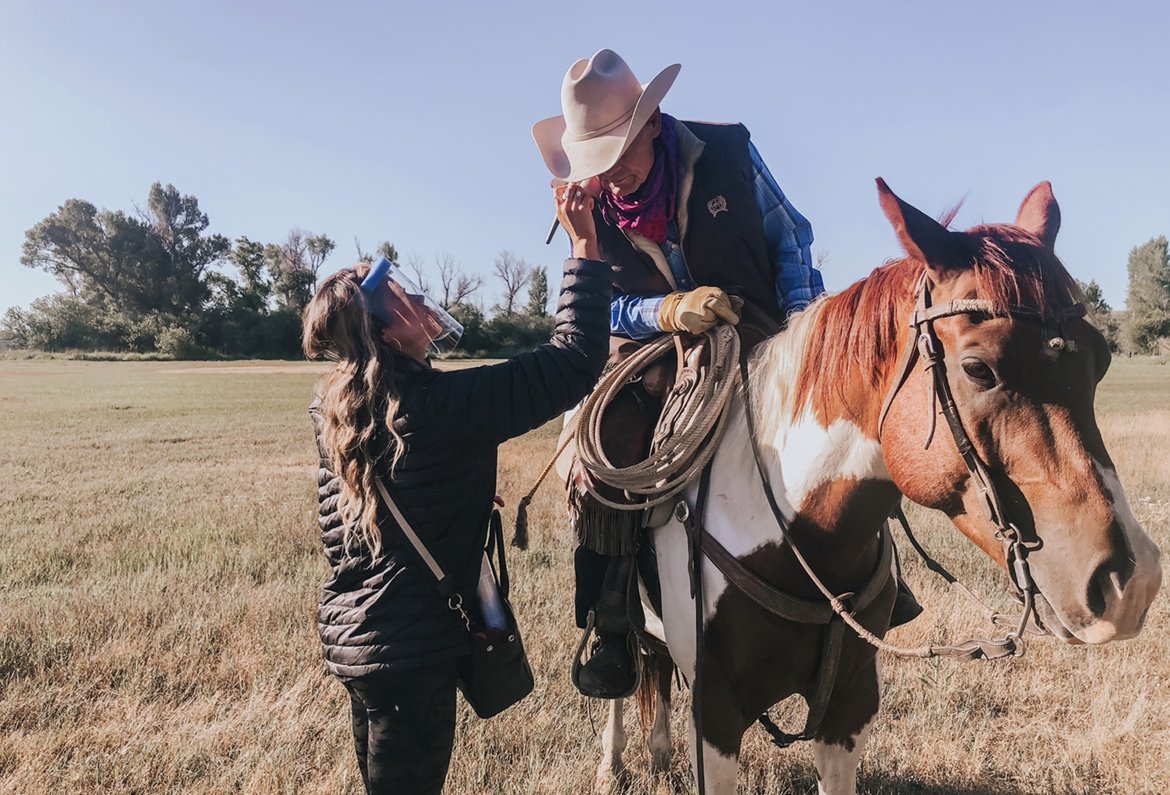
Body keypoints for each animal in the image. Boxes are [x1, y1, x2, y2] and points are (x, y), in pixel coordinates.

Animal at [585, 180, 1160, 795]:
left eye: (1102, 361)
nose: (1132, 579)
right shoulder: (715, 715)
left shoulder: (850, 703)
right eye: (978, 369)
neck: (797, 537)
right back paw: (612, 759)